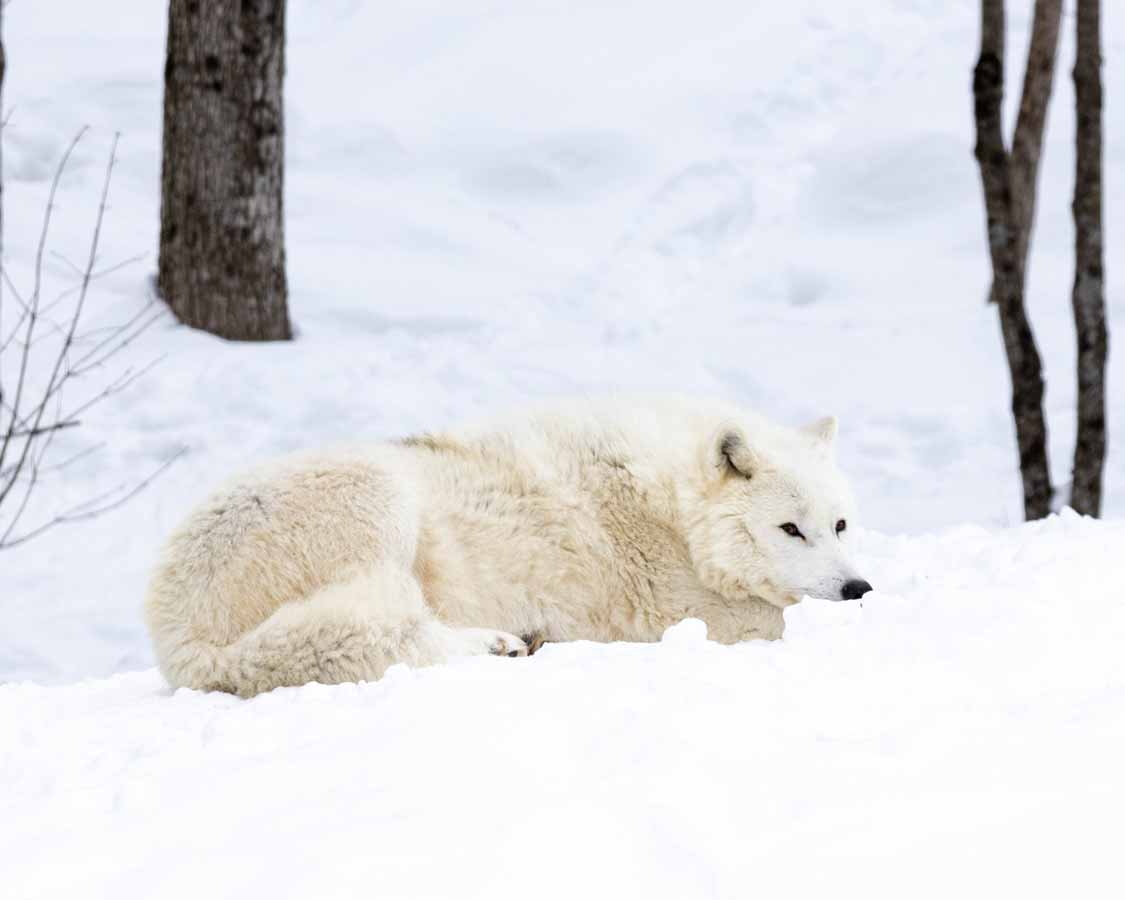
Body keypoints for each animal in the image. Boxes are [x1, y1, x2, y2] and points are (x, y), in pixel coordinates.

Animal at [145, 398, 868, 697]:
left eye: (839, 525)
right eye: (790, 530)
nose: (858, 590)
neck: (674, 510)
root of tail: (181, 640)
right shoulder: (691, 613)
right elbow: (774, 618)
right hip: (383, 501)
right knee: (394, 634)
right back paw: (498, 644)